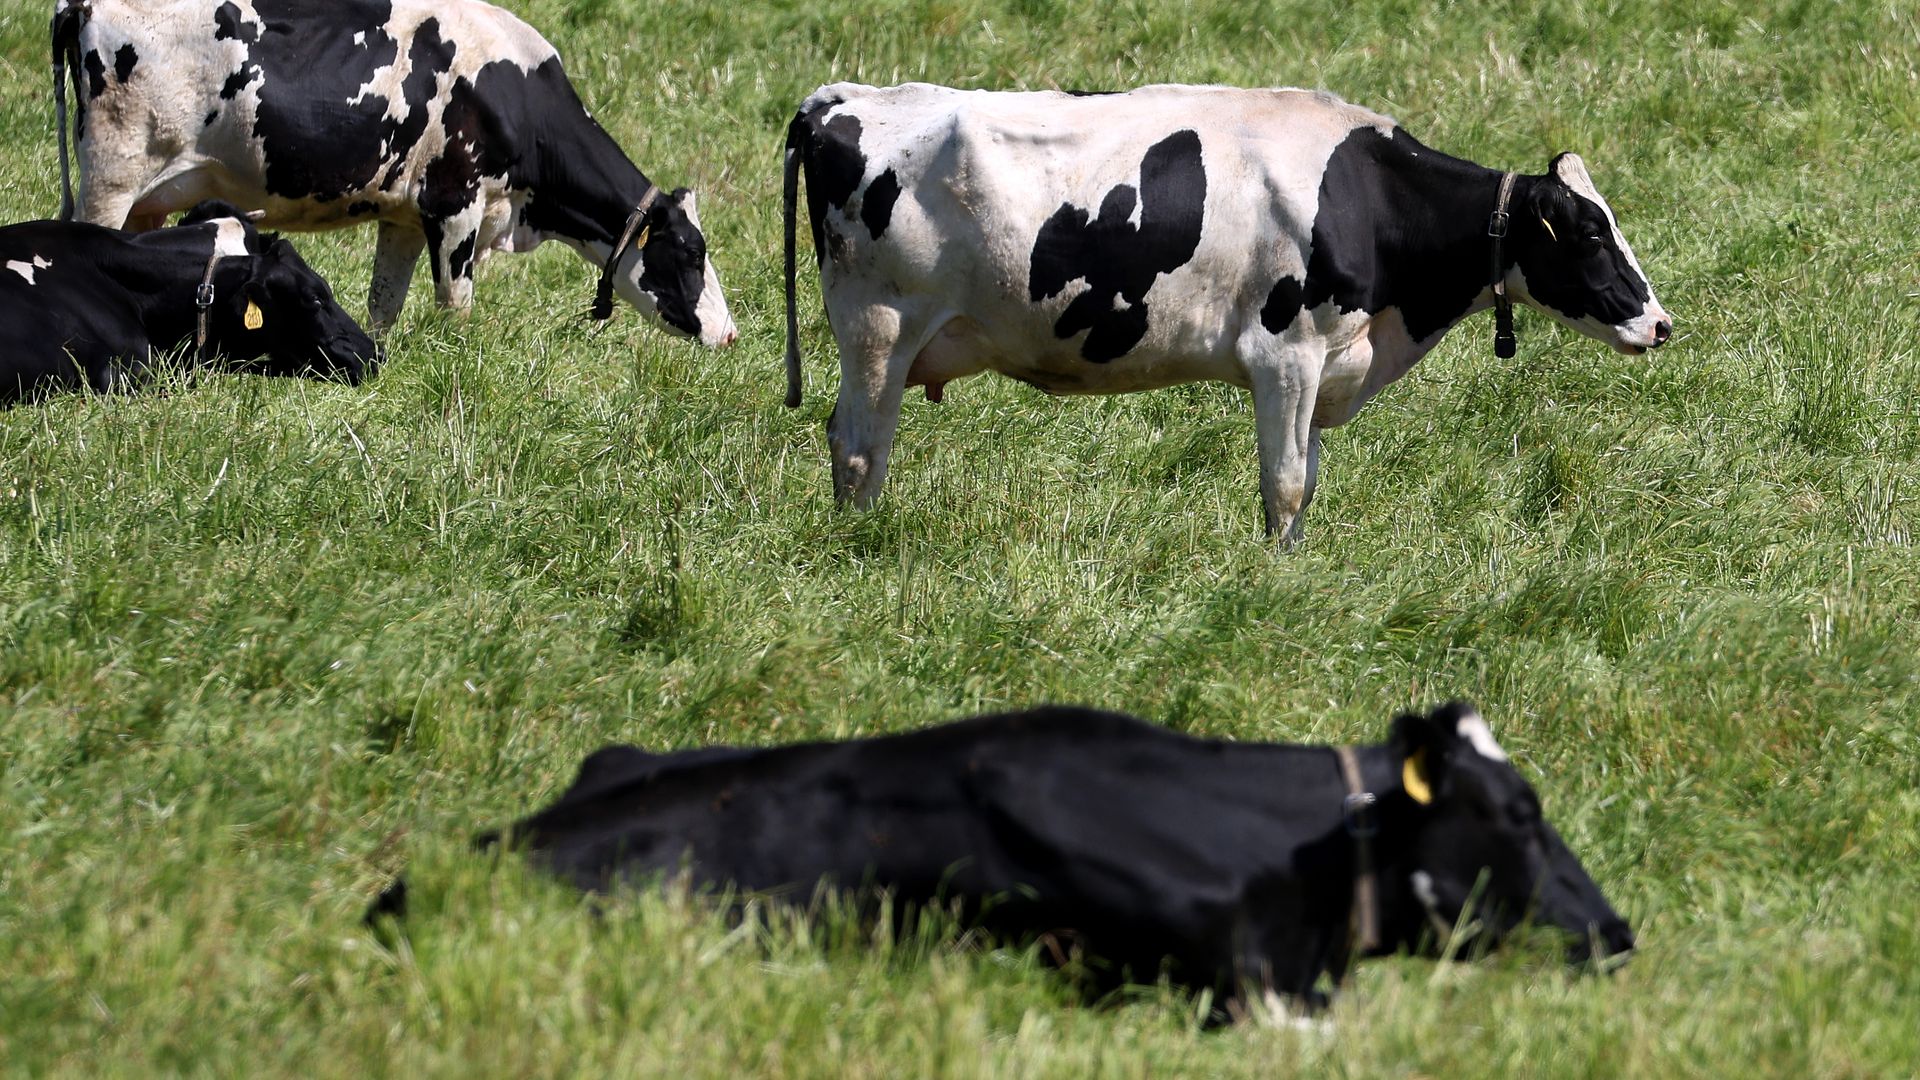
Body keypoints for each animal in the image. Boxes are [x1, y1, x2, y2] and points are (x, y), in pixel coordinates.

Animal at [51, 0, 738, 345]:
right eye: (692, 253)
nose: (729, 334)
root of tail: (84, 3)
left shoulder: (407, 216)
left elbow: (385, 302)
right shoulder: (455, 205)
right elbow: (455, 307)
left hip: (149, 198)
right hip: (111, 177)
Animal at [781, 83, 1672, 544]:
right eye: (1591, 232)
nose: (1661, 324)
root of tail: (841, 99)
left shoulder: (1324, 363)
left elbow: (1306, 478)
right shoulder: (1287, 353)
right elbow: (1285, 481)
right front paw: (1277, 574)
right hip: (878, 326)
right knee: (857, 447)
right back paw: (858, 546)